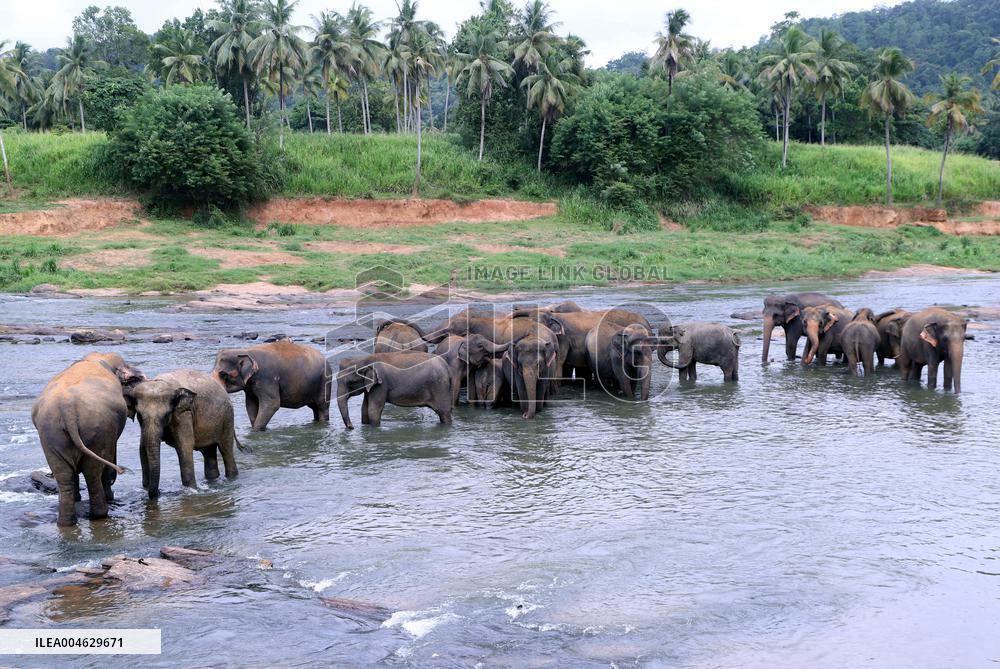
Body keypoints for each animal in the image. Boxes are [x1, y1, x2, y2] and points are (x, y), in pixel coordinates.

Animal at [32, 352, 145, 526]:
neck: (99, 357)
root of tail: (68, 409)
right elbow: (110, 454)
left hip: (51, 434)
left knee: (64, 476)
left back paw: (66, 521)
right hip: (96, 431)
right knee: (93, 472)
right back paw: (101, 512)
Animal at [124, 369, 244, 499]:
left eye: (166, 415)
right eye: (140, 416)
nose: (159, 492)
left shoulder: (184, 413)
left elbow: (184, 446)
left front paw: (191, 491)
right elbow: (142, 448)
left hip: (227, 418)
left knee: (226, 450)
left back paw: (231, 479)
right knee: (209, 454)